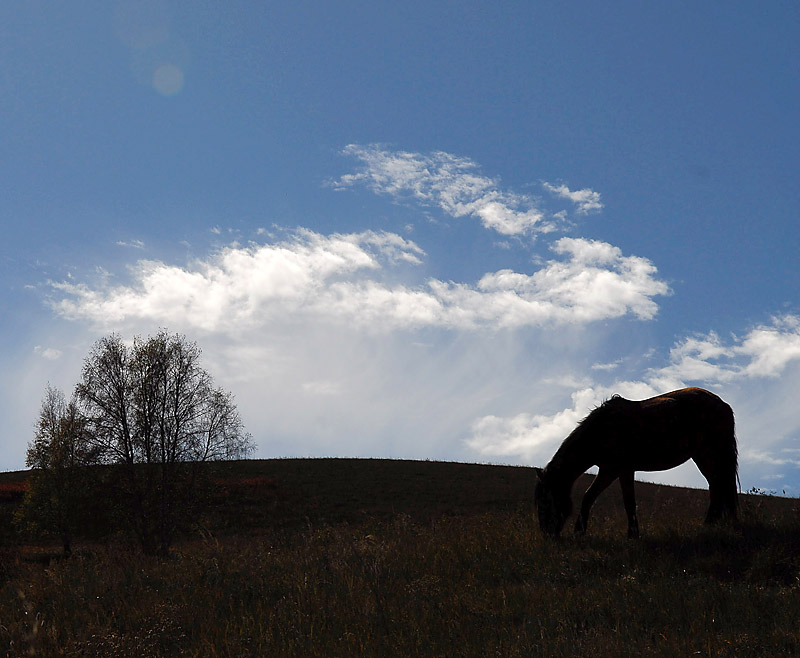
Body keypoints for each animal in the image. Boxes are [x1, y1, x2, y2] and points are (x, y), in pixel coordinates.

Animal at [533, 387, 738, 538]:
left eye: (545, 502)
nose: (548, 536)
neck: (601, 431)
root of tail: (723, 404)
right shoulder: (611, 470)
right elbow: (590, 496)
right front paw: (581, 532)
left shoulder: (616, 470)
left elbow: (626, 502)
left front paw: (631, 535)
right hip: (705, 456)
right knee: (718, 487)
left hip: (708, 454)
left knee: (719, 486)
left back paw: (711, 525)